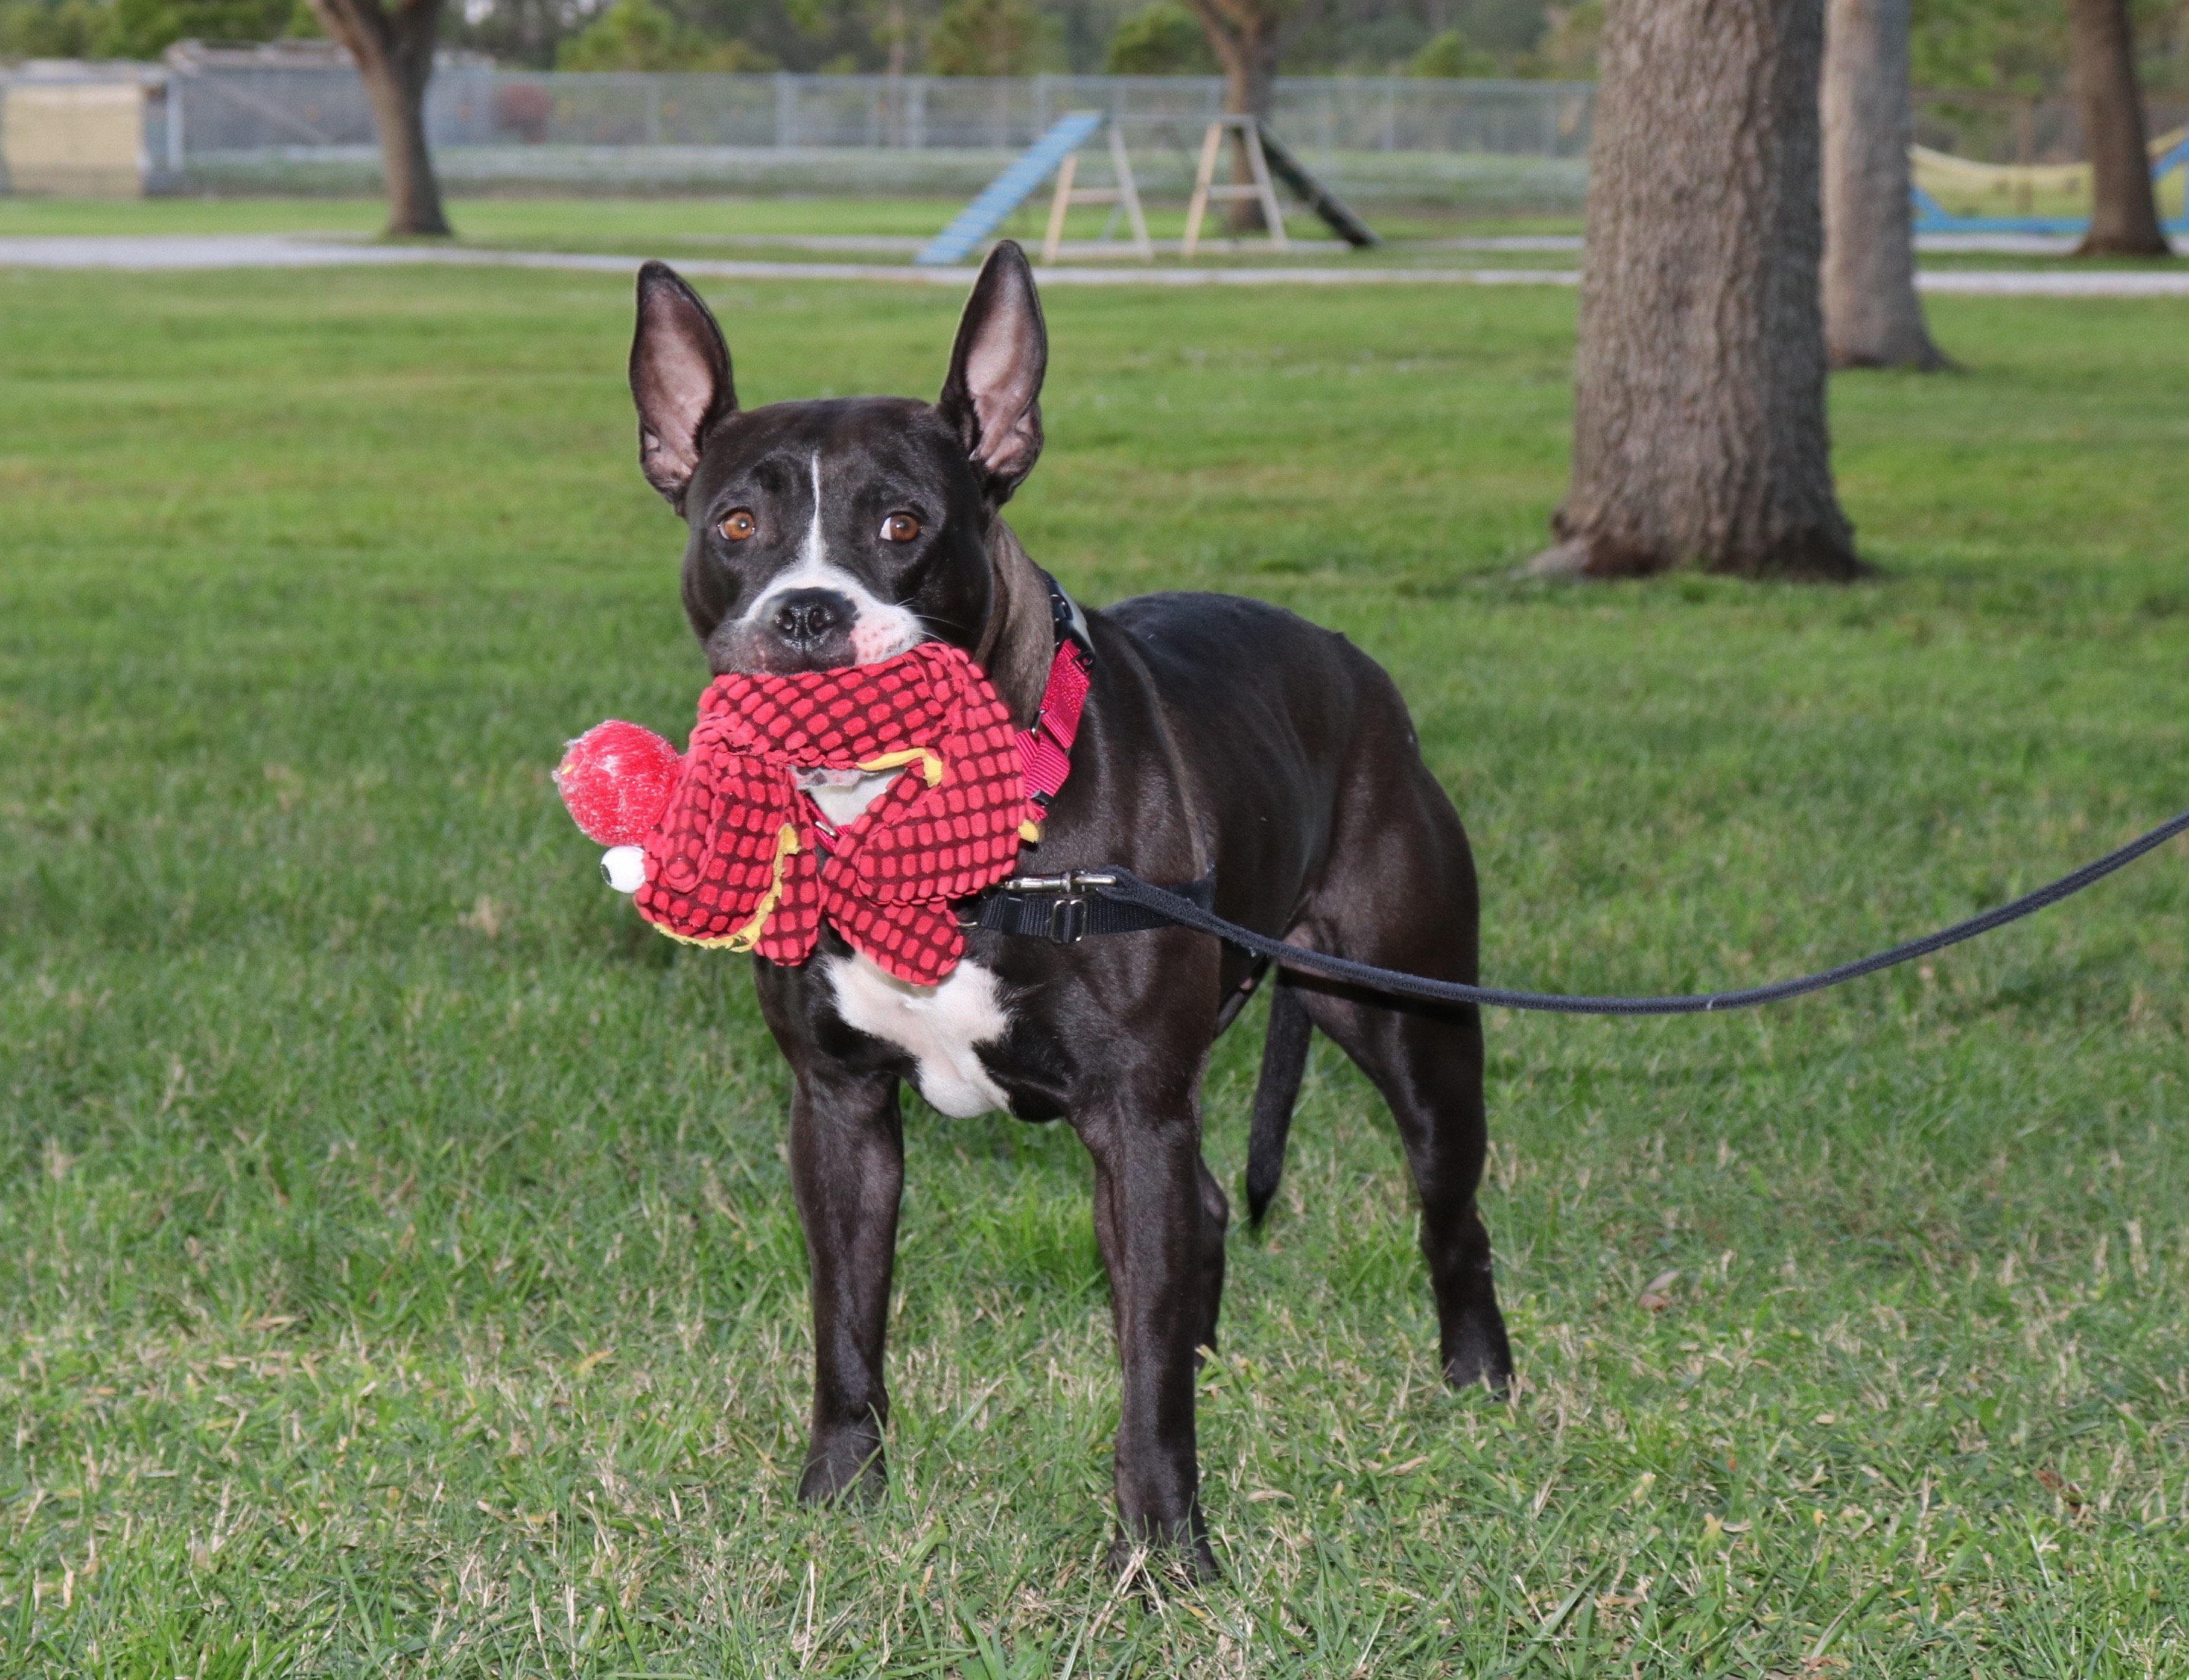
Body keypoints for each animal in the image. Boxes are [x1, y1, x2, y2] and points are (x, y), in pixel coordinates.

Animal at [621, 239, 1506, 1574]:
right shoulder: (838, 1110)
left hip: (1409, 1017)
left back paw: (1478, 1379)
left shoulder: (1131, 1116)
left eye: (902, 523)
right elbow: (846, 1328)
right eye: (736, 524)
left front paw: (1167, 1556)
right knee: (1204, 1218)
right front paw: (837, 1500)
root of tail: (1354, 667)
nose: (807, 611)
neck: (922, 834)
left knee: (1447, 1204)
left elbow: (1141, 1380)